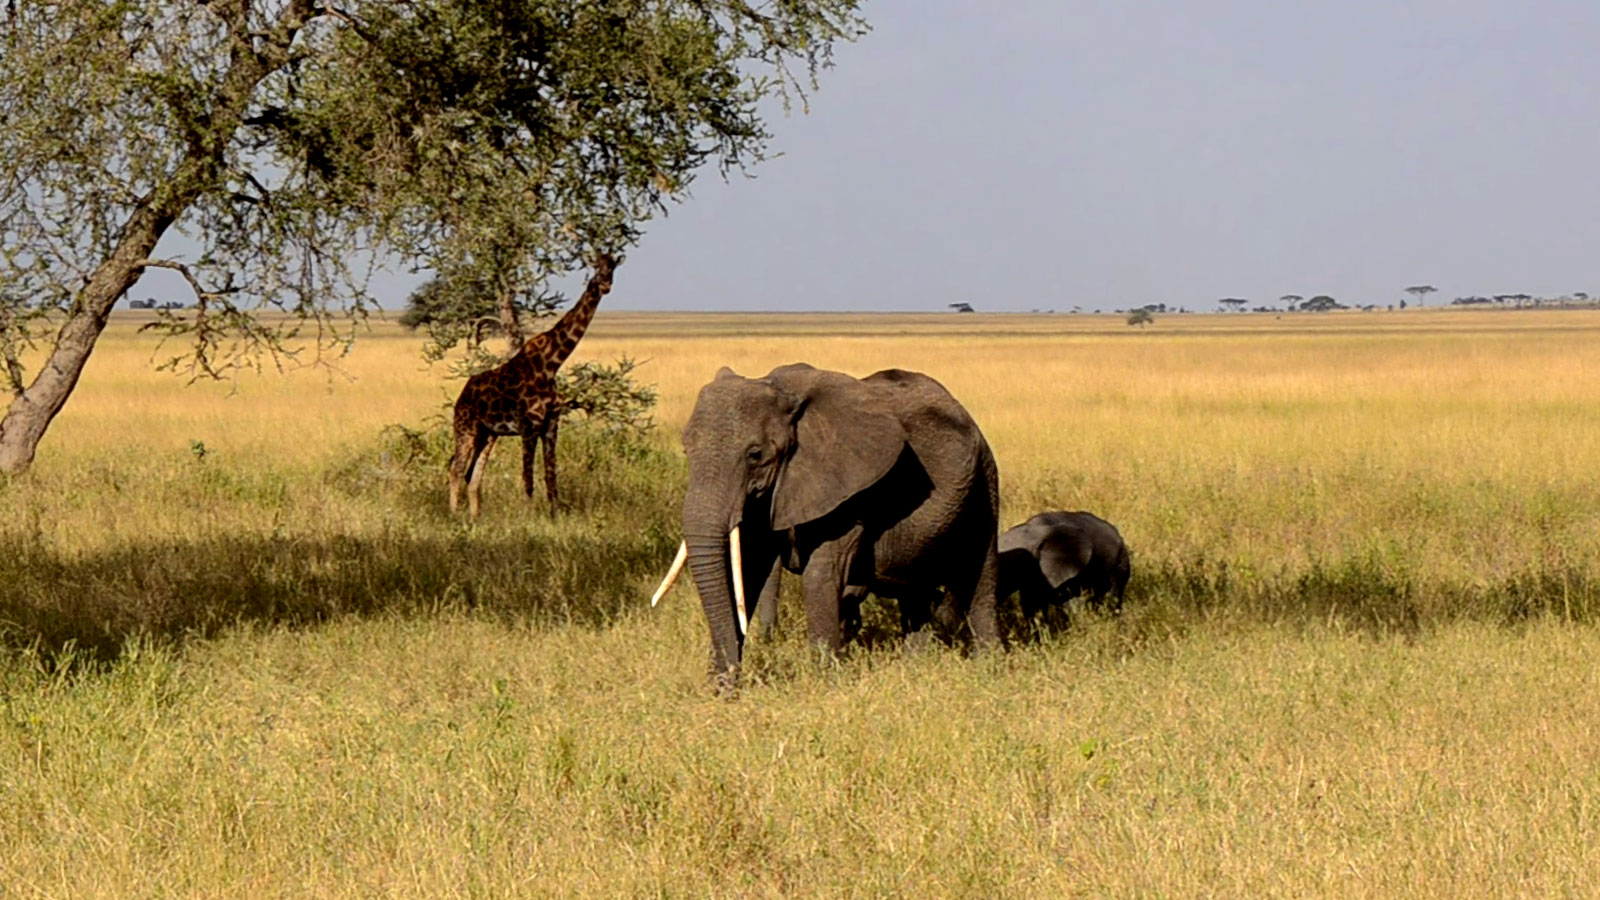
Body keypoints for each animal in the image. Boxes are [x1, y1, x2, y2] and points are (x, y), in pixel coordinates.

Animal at [457, 254, 624, 518]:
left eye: (614, 266)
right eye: (597, 267)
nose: (606, 285)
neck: (551, 363)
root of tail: (462, 394)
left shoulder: (551, 424)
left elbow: (550, 475)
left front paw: (555, 516)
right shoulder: (529, 425)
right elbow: (528, 476)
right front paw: (529, 517)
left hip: (488, 433)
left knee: (470, 473)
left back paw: (475, 518)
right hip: (465, 428)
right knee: (455, 468)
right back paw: (454, 514)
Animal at [649, 360, 998, 682]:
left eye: (755, 455)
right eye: (686, 450)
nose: (730, 682)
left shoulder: (845, 491)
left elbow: (821, 575)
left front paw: (826, 681)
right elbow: (748, 569)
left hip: (985, 481)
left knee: (980, 581)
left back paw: (988, 667)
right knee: (915, 594)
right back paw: (915, 666)